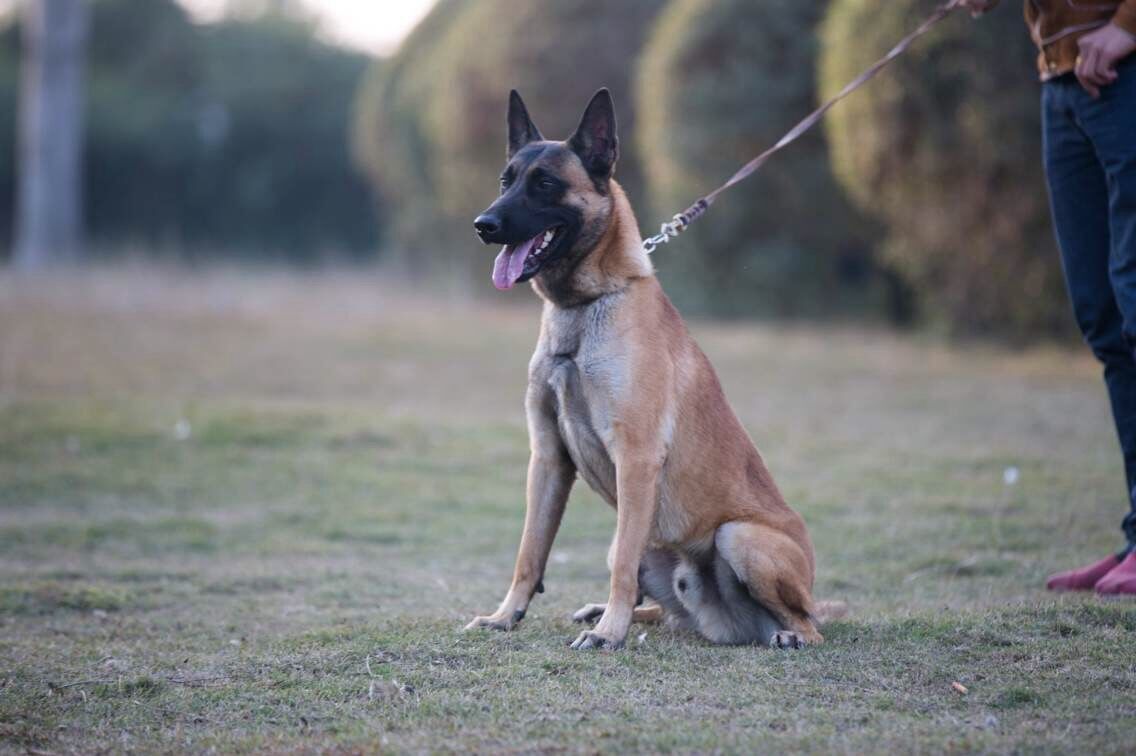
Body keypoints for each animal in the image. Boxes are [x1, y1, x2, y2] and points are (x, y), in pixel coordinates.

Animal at [463, 89, 845, 650]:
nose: (483, 226)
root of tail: (727, 622)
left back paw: (788, 635)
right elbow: (529, 553)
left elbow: (621, 564)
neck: (585, 306)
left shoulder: (636, 458)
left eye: (546, 184)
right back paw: (608, 611)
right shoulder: (548, 457)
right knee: (667, 612)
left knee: (808, 623)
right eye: (504, 181)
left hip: (739, 536)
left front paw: (608, 634)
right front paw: (505, 615)